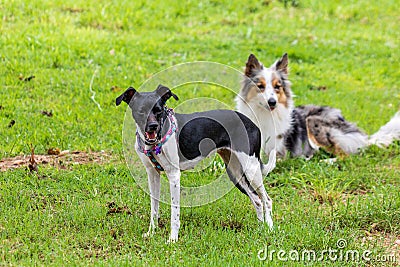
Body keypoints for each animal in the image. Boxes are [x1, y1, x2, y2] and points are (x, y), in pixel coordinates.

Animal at [117, 84, 276, 243]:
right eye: (141, 111)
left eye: (159, 111)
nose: (153, 126)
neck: (154, 142)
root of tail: (253, 124)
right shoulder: (152, 174)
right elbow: (154, 208)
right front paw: (151, 232)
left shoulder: (174, 175)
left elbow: (174, 212)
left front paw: (173, 239)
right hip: (235, 173)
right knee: (257, 200)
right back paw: (259, 229)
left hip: (251, 169)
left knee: (266, 200)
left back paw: (269, 229)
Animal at [236, 53, 400, 160]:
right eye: (260, 86)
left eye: (277, 86)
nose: (272, 102)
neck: (264, 115)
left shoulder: (279, 152)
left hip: (315, 122)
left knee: (347, 155)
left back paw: (328, 161)